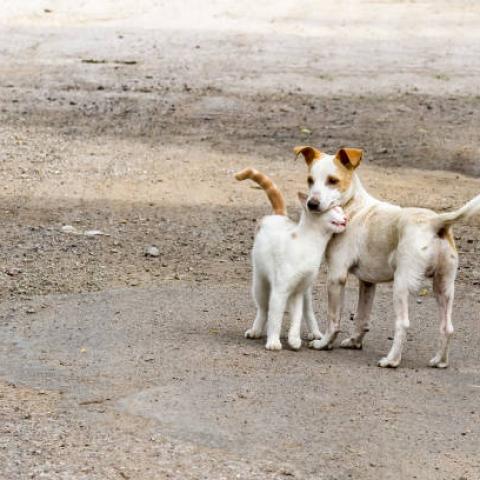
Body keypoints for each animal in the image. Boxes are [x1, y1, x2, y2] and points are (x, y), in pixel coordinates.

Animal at [234, 167, 346, 350]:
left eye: (342, 210)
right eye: (334, 211)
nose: (346, 218)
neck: (311, 244)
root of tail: (279, 215)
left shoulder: (298, 291)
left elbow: (296, 317)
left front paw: (294, 339)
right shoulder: (280, 290)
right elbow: (275, 317)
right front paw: (273, 341)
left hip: (306, 291)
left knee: (308, 311)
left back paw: (315, 333)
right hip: (260, 283)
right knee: (263, 309)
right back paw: (255, 330)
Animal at [294, 146, 480, 368]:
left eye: (332, 180)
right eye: (310, 180)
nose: (311, 204)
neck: (353, 207)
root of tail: (435, 221)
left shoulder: (336, 276)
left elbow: (334, 319)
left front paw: (324, 343)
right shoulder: (367, 283)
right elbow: (362, 317)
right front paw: (355, 341)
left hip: (401, 286)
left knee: (403, 324)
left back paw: (392, 360)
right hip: (444, 287)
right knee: (447, 327)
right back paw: (439, 361)